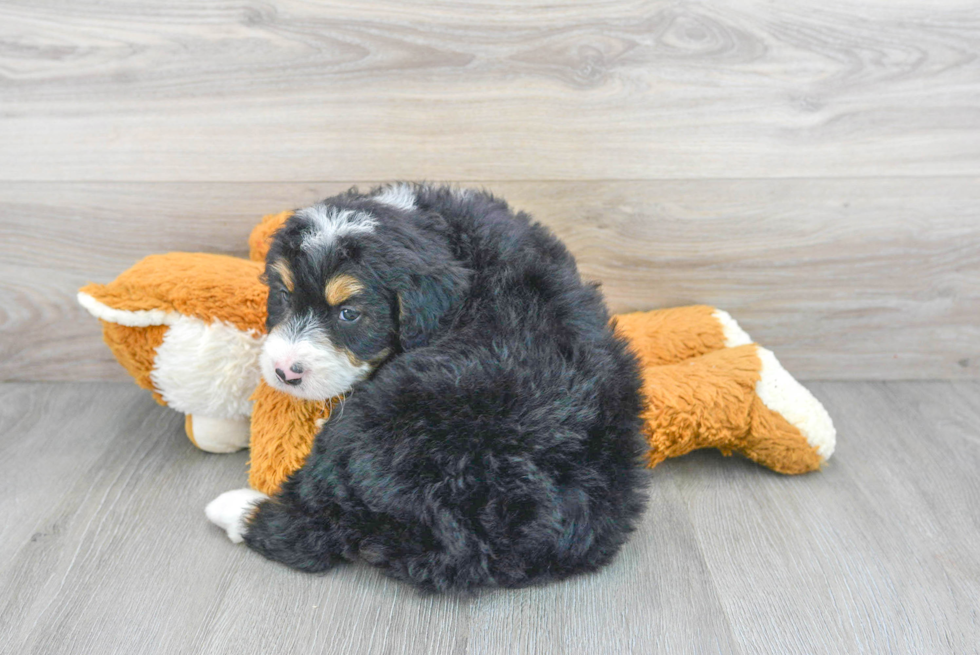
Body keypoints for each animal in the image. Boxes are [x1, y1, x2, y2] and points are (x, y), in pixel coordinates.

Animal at [205, 182, 652, 592]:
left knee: (307, 531)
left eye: (349, 314)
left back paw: (235, 508)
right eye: (283, 294)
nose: (285, 372)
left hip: (378, 415)